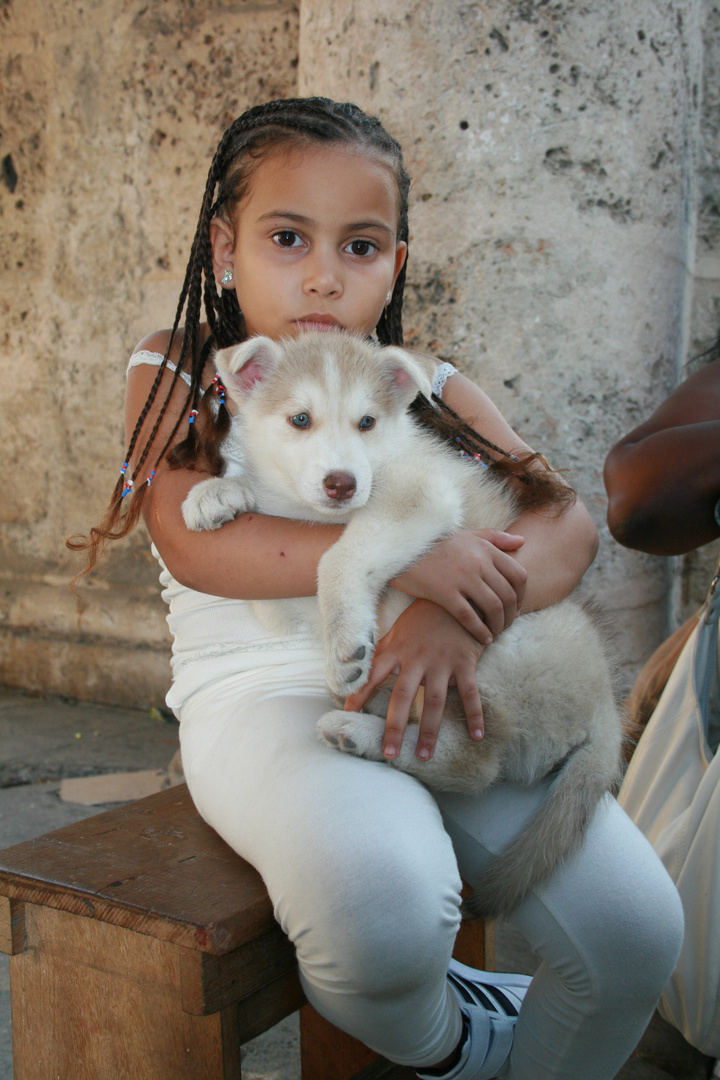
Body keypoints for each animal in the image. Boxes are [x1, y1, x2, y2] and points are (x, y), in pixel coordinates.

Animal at [183, 330, 621, 920]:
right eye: (300, 419)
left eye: (367, 422)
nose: (342, 484)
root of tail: (606, 710)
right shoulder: (278, 592)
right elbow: (278, 530)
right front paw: (219, 492)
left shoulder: (421, 493)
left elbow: (337, 556)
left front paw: (345, 644)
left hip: (501, 655)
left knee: (475, 764)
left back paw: (361, 732)